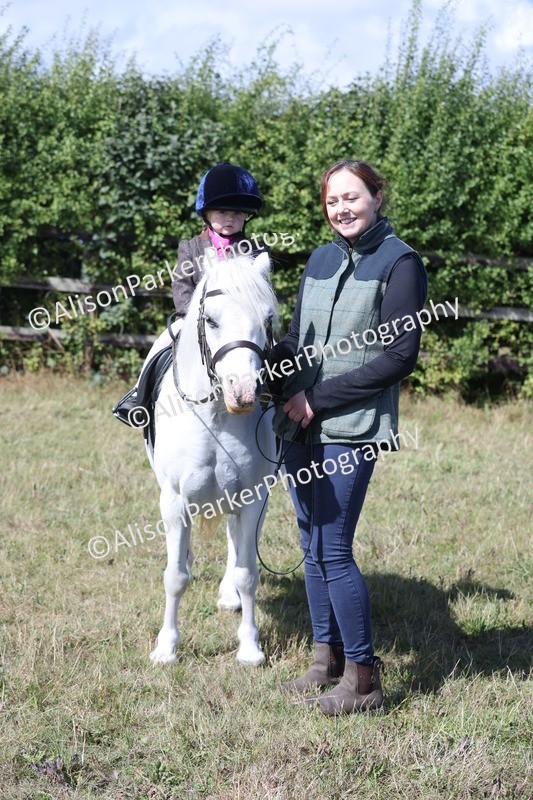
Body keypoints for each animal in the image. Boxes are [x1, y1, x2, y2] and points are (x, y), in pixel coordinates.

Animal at [148, 251, 278, 666]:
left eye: (267, 319)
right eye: (211, 320)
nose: (244, 393)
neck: (218, 416)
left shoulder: (253, 498)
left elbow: (248, 573)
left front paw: (250, 648)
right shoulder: (174, 501)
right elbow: (174, 577)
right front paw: (166, 647)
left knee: (236, 541)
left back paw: (228, 596)